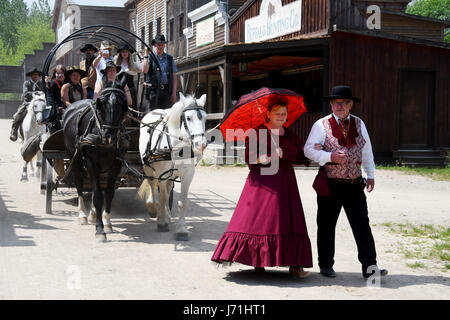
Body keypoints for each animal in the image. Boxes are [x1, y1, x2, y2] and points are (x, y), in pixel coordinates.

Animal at [138, 92, 207, 240]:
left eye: (205, 117)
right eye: (188, 117)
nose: (201, 144)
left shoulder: (188, 175)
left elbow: (183, 202)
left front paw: (181, 229)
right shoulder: (162, 174)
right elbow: (163, 197)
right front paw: (162, 222)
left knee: (169, 188)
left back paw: (167, 214)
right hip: (148, 167)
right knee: (152, 185)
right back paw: (154, 208)